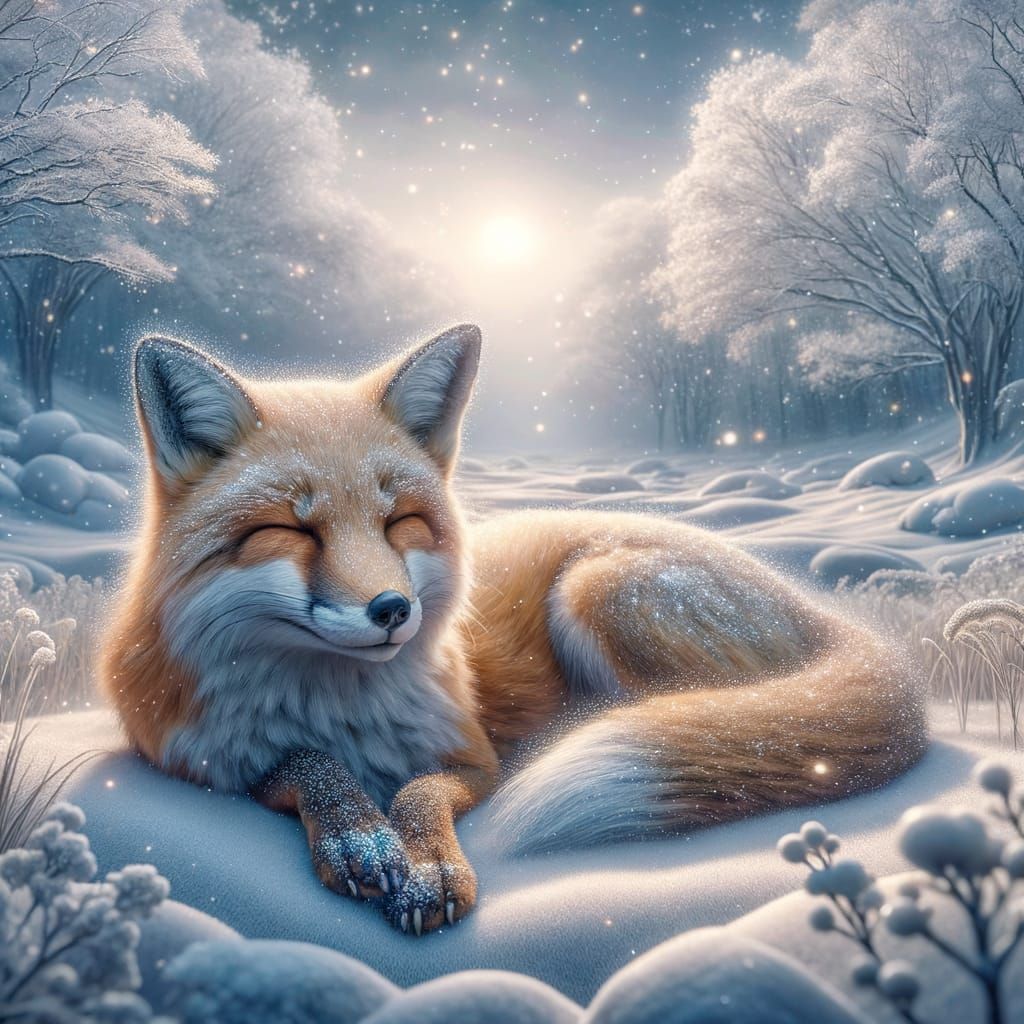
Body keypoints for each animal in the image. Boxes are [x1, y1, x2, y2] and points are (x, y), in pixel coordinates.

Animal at [101, 323, 927, 936]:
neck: (342, 708)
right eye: (291, 531)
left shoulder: (476, 761)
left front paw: (427, 862)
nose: (393, 611)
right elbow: (302, 765)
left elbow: (422, 793)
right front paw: (355, 829)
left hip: (599, 591)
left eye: (400, 522)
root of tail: (825, 614)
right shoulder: (203, 760)